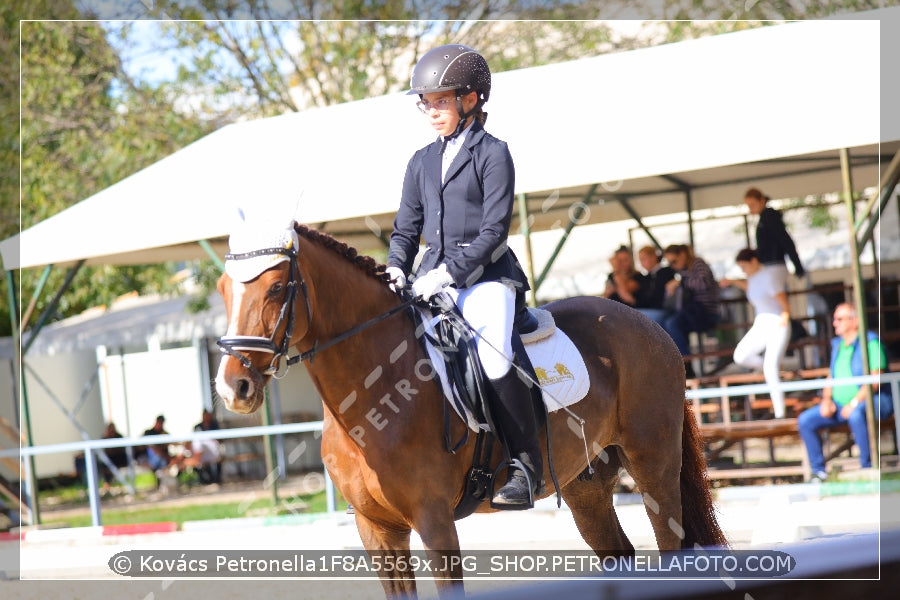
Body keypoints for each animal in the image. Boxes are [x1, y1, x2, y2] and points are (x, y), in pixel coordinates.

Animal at [214, 223, 728, 596]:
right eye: (222, 289)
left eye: (277, 288)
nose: (233, 387)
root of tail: (648, 325)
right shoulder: (377, 531)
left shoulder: (435, 524)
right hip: (587, 486)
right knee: (619, 553)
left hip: (652, 464)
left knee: (671, 545)